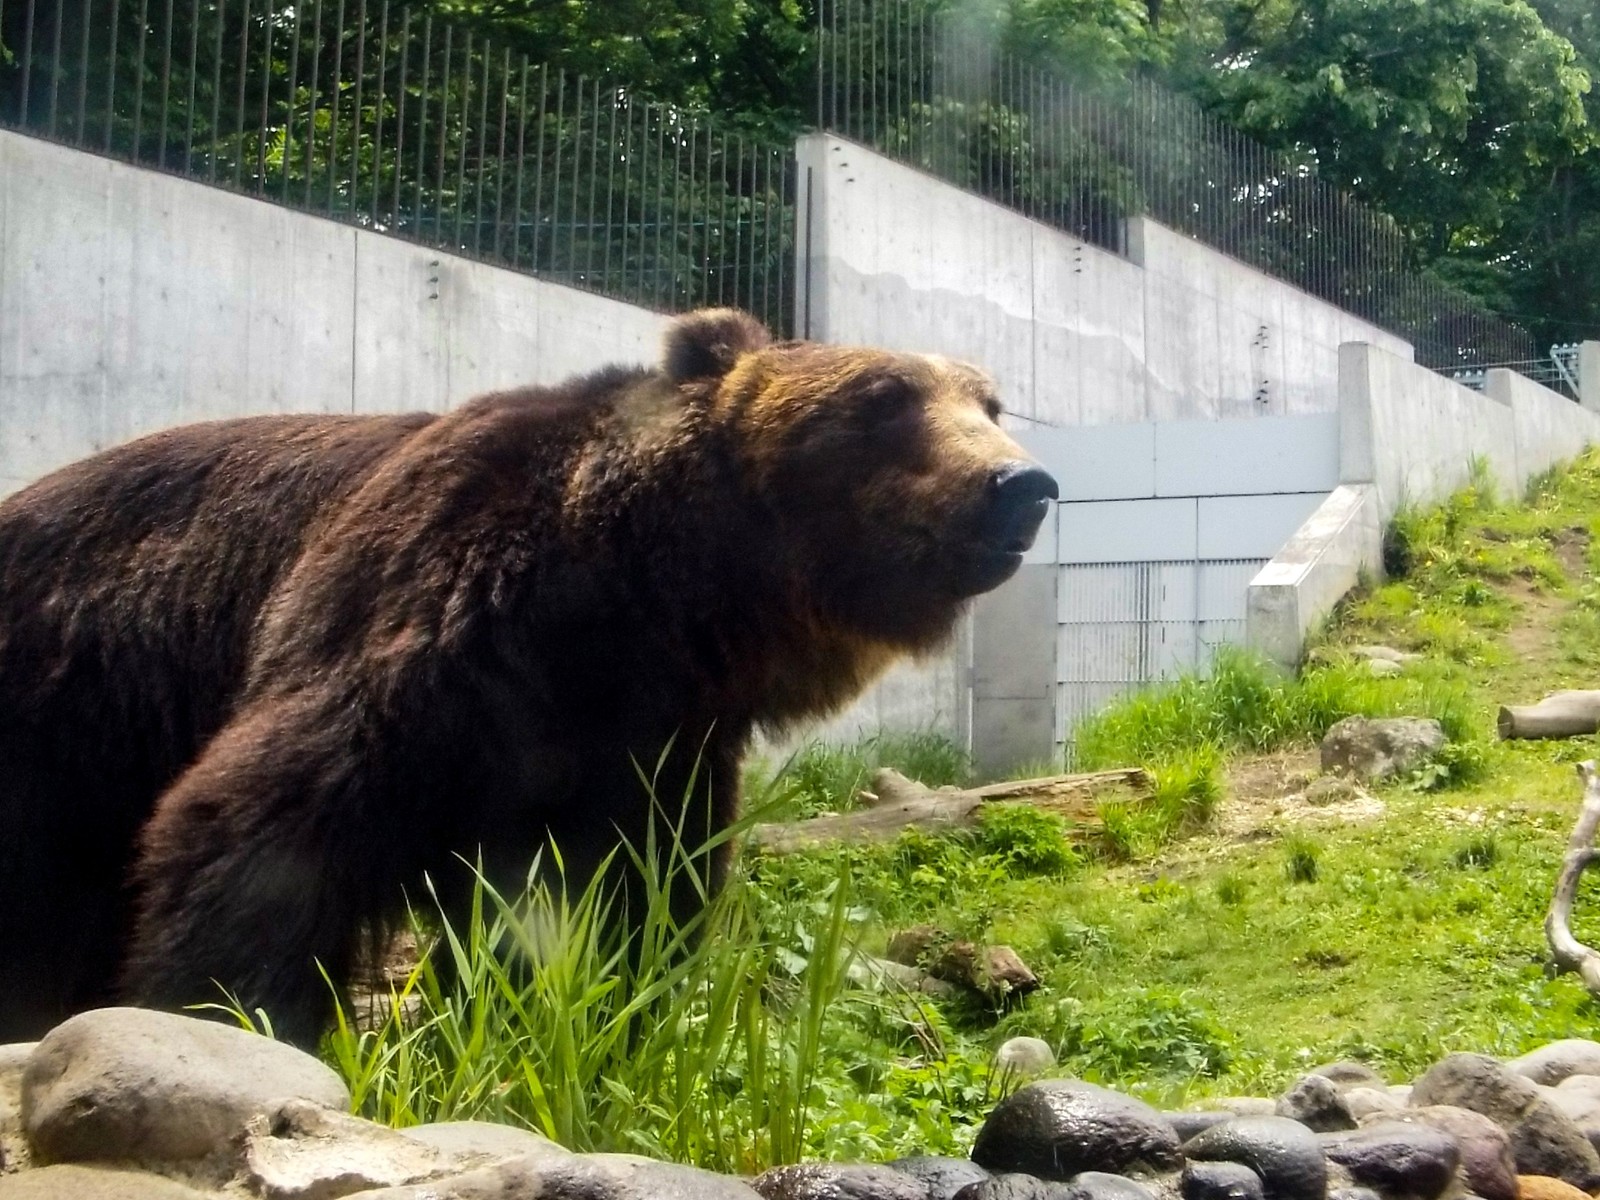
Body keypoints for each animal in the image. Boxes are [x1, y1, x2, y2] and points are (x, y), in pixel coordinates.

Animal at [0, 312, 1062, 1049]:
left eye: (987, 403)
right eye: (884, 398)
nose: (1023, 484)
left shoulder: (657, 738)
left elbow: (630, 900)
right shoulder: (430, 618)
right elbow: (268, 827)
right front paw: (237, 1018)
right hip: (64, 706)